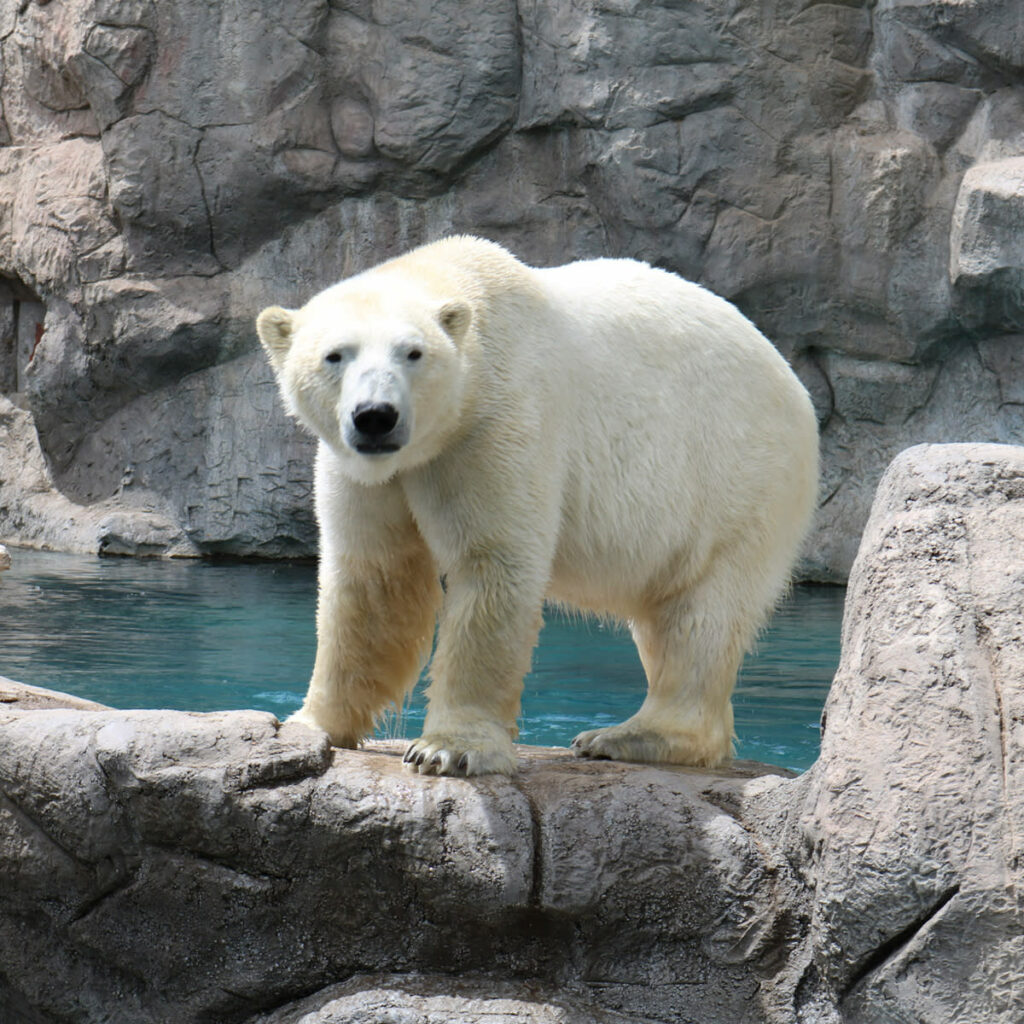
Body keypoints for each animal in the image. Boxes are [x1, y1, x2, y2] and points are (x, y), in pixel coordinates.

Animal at [260, 234, 819, 774]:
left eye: (413, 353)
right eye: (335, 355)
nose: (376, 416)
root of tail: (792, 381)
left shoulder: (497, 424)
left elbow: (492, 563)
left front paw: (446, 750)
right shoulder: (365, 470)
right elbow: (374, 579)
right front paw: (309, 723)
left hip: (738, 476)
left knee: (703, 611)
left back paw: (629, 735)